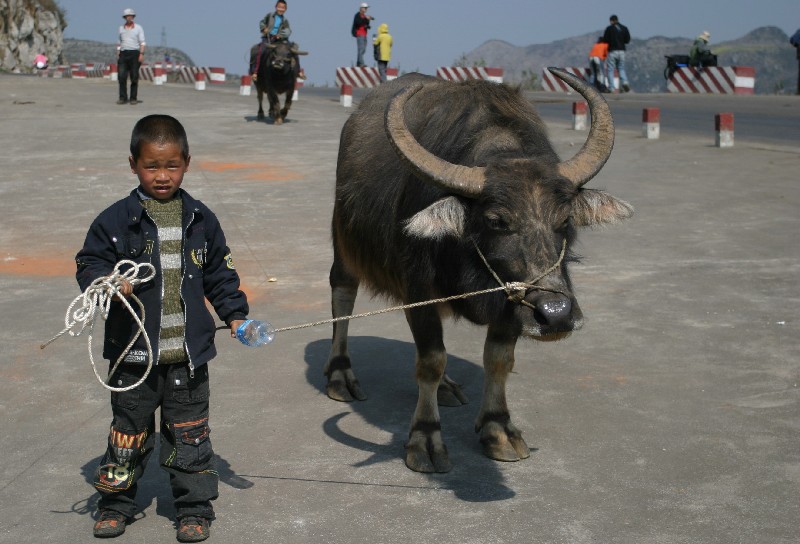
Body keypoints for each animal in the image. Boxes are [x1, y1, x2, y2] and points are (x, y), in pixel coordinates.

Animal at [324, 69, 632, 472]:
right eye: (496, 220)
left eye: (564, 219)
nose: (556, 314)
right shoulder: (417, 291)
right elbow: (430, 359)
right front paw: (425, 438)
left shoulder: (511, 301)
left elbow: (498, 360)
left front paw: (498, 429)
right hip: (343, 244)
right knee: (342, 297)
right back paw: (340, 375)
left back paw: (447, 388)